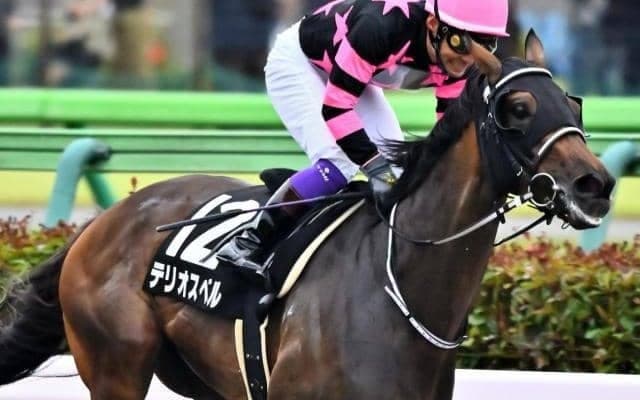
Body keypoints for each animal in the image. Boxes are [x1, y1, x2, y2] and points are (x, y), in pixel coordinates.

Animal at [0, 31, 615, 400]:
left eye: (574, 103)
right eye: (518, 108)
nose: (597, 184)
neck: (398, 290)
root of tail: (100, 224)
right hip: (116, 366)